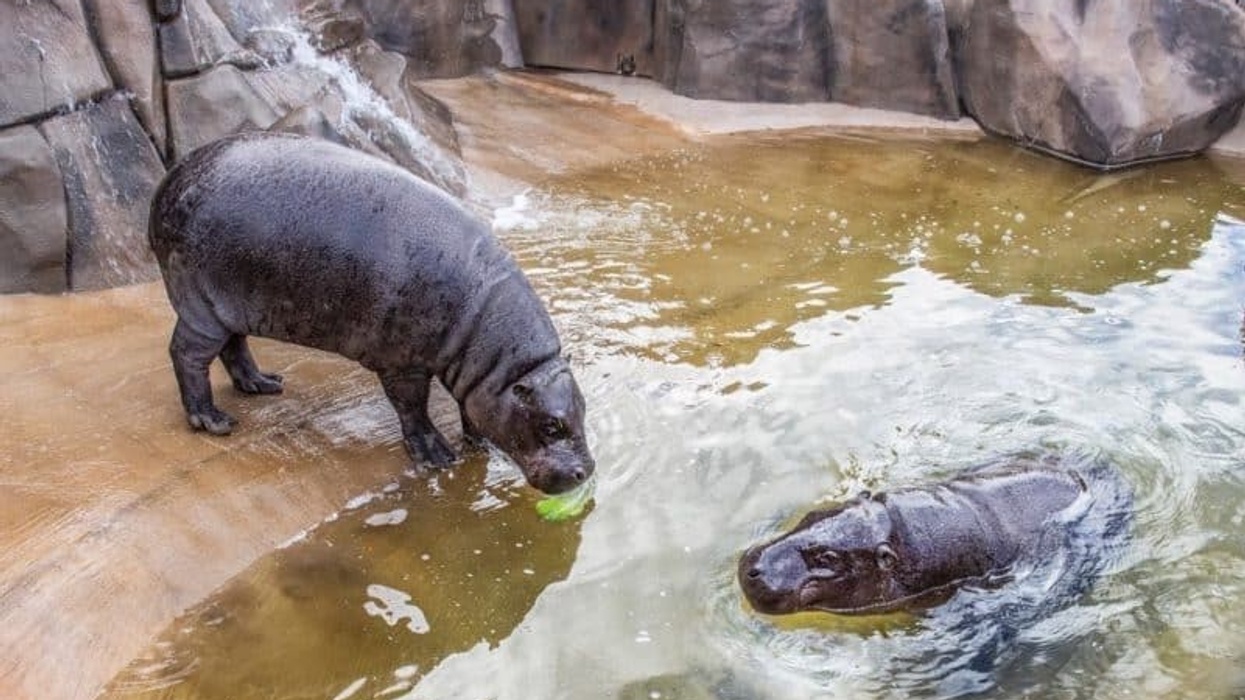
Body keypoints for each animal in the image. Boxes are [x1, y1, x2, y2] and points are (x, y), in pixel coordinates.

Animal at [148, 132, 593, 494]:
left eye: (583, 409)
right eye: (551, 424)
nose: (586, 471)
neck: (502, 360)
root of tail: (170, 179)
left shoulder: (476, 376)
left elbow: (470, 407)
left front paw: (479, 444)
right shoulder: (402, 362)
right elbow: (412, 406)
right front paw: (438, 456)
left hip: (230, 304)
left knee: (233, 345)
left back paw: (264, 384)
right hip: (200, 304)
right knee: (187, 355)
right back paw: (213, 421)